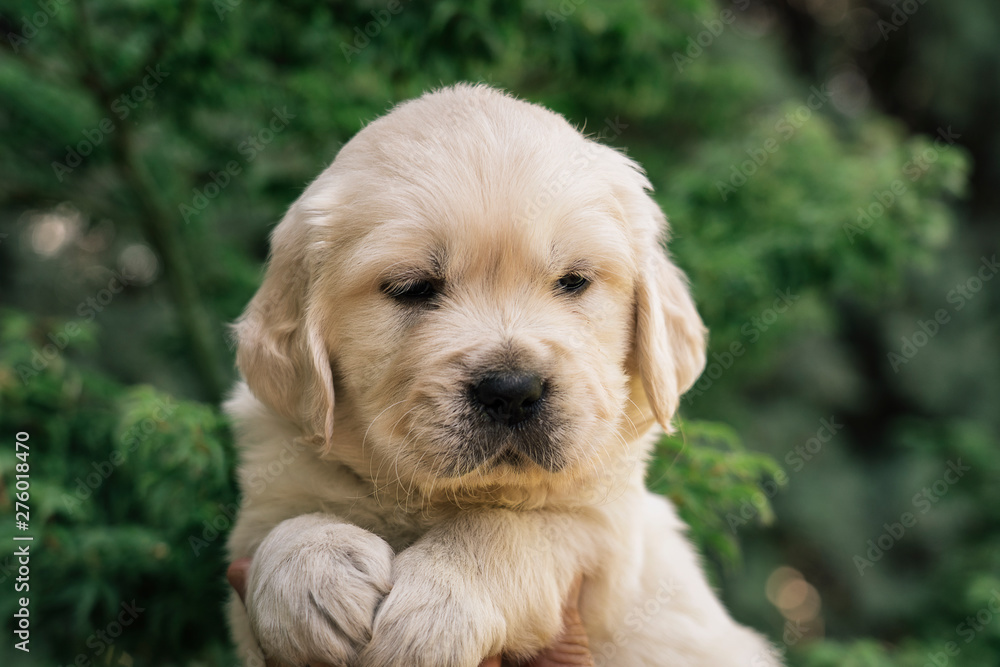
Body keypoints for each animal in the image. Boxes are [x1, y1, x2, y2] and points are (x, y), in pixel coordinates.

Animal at [227, 85, 780, 667]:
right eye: (412, 287)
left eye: (573, 281)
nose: (513, 392)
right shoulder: (270, 493)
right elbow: (279, 529)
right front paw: (311, 574)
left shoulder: (604, 541)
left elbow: (509, 527)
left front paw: (435, 611)